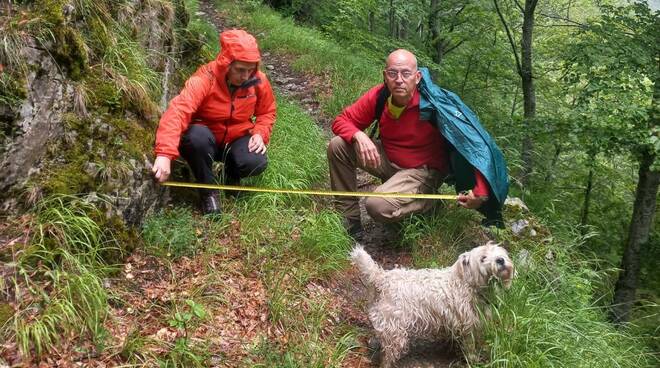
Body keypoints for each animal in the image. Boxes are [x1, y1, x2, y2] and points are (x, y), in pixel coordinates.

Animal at [354, 242, 512, 368]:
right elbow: (470, 348)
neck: (467, 283)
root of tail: (382, 278)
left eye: (498, 252)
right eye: (483, 258)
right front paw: (473, 360)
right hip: (395, 331)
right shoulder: (468, 326)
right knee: (388, 356)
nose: (500, 260)